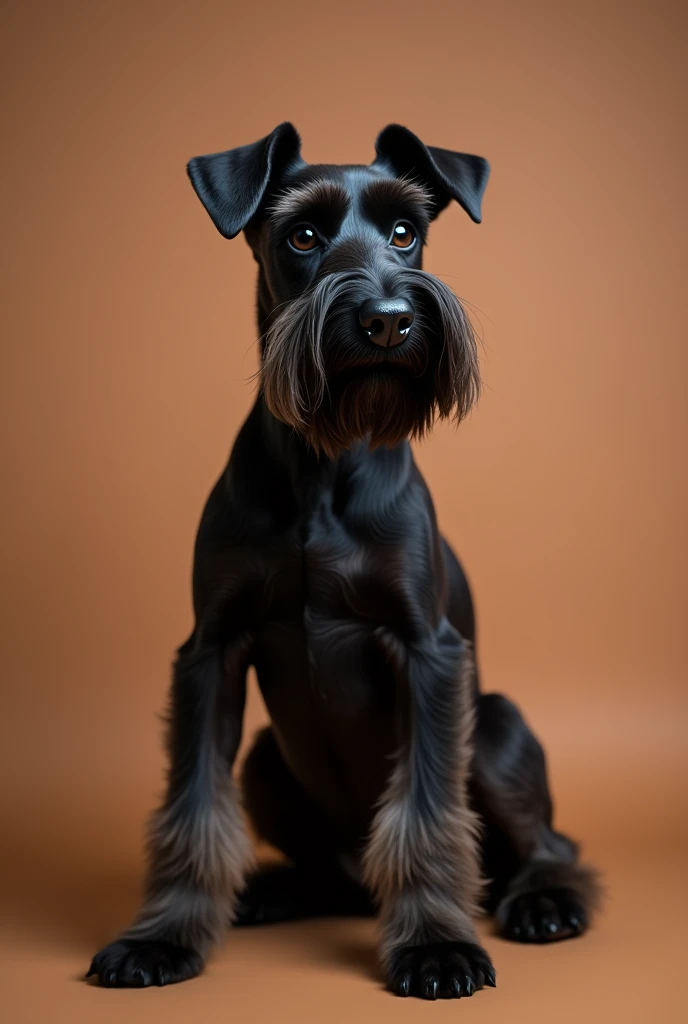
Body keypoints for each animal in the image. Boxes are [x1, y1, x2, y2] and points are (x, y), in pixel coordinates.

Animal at [88, 123, 597, 995]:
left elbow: (426, 814)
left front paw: (435, 945)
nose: (389, 319)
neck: (324, 462)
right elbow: (192, 808)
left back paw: (543, 901)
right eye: (302, 236)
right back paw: (274, 890)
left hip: (496, 728)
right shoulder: (210, 652)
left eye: (405, 231)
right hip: (265, 759)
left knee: (547, 845)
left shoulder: (426, 652)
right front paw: (163, 937)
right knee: (331, 869)